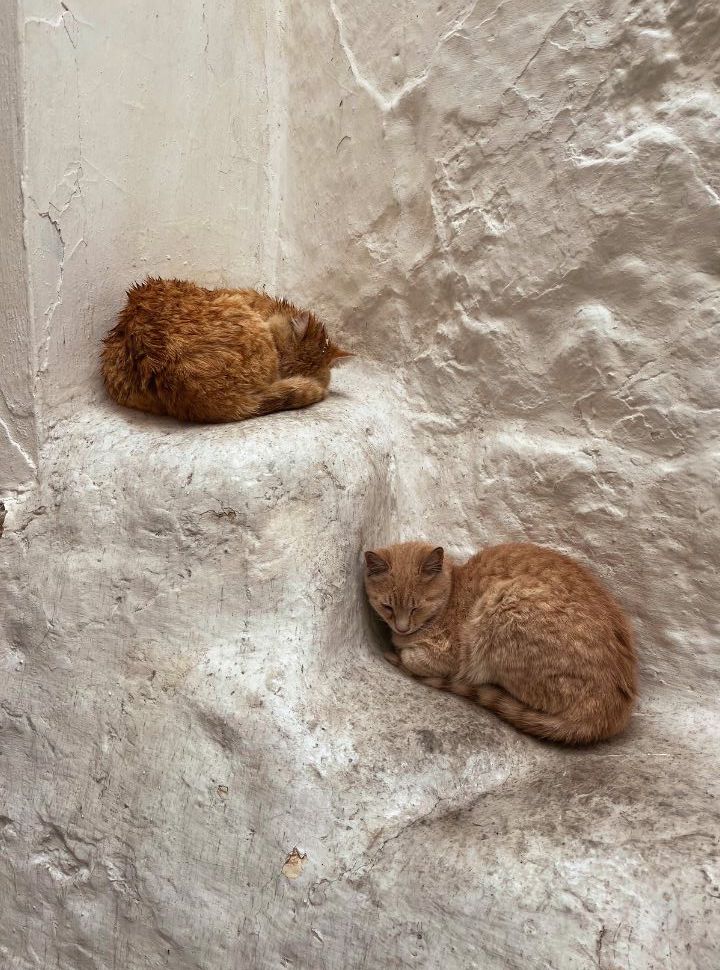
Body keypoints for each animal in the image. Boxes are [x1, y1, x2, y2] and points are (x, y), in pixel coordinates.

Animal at [362, 540, 640, 744]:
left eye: (416, 607)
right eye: (387, 606)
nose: (401, 627)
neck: (452, 592)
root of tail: (608, 714)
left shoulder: (447, 656)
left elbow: (411, 656)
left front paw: (399, 650)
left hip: (502, 609)